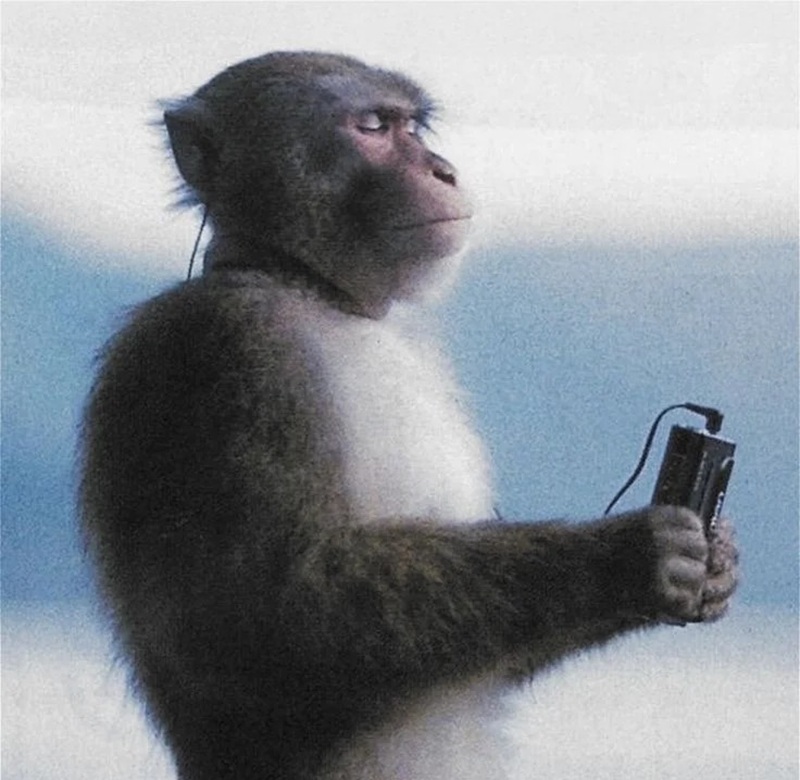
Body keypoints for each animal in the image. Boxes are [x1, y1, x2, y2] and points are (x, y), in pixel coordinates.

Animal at [79, 52, 738, 780]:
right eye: (373, 126)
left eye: (414, 127)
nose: (443, 170)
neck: (307, 287)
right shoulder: (228, 352)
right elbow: (263, 624)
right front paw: (634, 555)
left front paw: (716, 558)